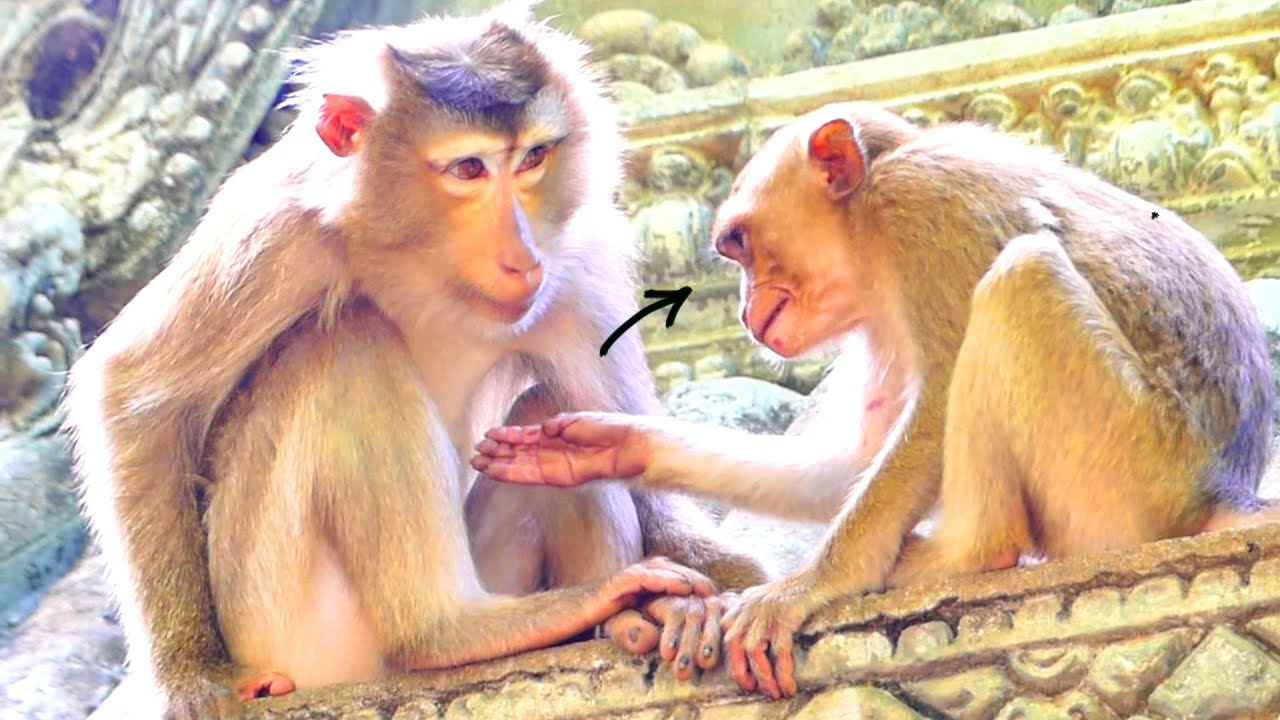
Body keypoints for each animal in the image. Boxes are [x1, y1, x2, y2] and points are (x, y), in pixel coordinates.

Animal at [64, 5, 765, 716]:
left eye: (533, 157)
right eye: (468, 169)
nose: (522, 256)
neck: (424, 265)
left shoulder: (577, 260)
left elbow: (633, 455)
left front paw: (730, 591)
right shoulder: (277, 232)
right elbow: (139, 395)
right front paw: (192, 679)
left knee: (556, 421)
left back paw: (612, 618)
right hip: (281, 621)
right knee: (348, 343)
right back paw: (446, 630)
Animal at [472, 101, 1278, 699]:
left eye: (739, 243)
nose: (745, 309)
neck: (870, 215)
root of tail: (1218, 491)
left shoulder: (923, 207)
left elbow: (942, 387)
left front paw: (812, 585)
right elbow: (852, 461)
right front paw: (605, 447)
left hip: (1126, 470)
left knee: (1022, 277)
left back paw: (968, 552)